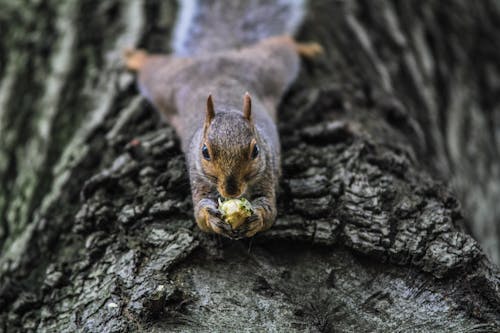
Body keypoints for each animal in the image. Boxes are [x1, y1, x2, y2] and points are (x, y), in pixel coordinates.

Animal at [124, 9, 320, 237]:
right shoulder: (198, 177)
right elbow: (200, 214)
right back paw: (136, 57)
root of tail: (215, 55)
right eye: (205, 152)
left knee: (283, 44)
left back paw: (306, 47)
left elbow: (269, 211)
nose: (231, 191)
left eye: (255, 151)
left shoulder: (267, 172)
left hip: (270, 67)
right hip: (166, 82)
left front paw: (256, 218)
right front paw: (211, 218)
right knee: (151, 67)